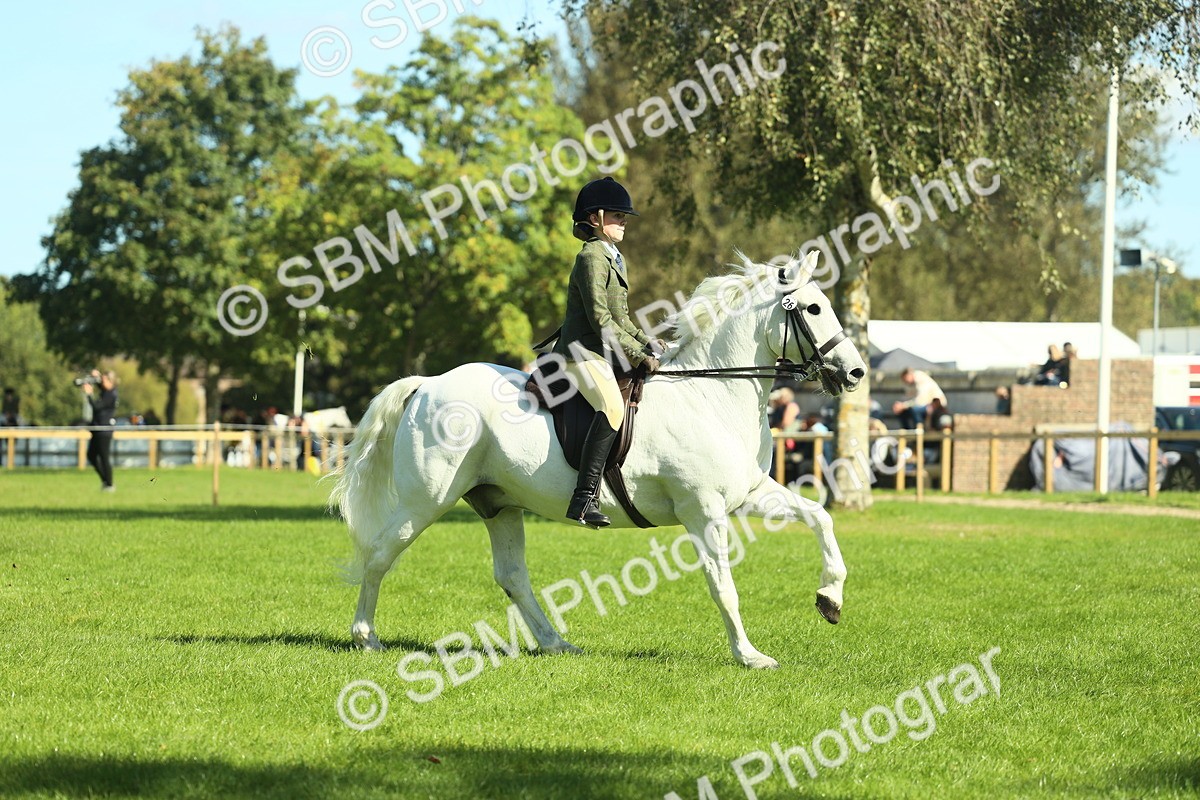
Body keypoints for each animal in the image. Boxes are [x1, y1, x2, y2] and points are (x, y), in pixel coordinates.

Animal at [329, 251, 867, 668]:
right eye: (814, 307)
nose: (856, 373)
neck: (710, 395)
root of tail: (428, 383)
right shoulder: (702, 509)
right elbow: (723, 585)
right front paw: (749, 655)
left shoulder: (748, 494)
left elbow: (820, 518)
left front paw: (830, 600)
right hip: (426, 500)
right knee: (380, 554)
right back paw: (366, 638)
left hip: (498, 503)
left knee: (512, 576)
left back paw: (555, 644)